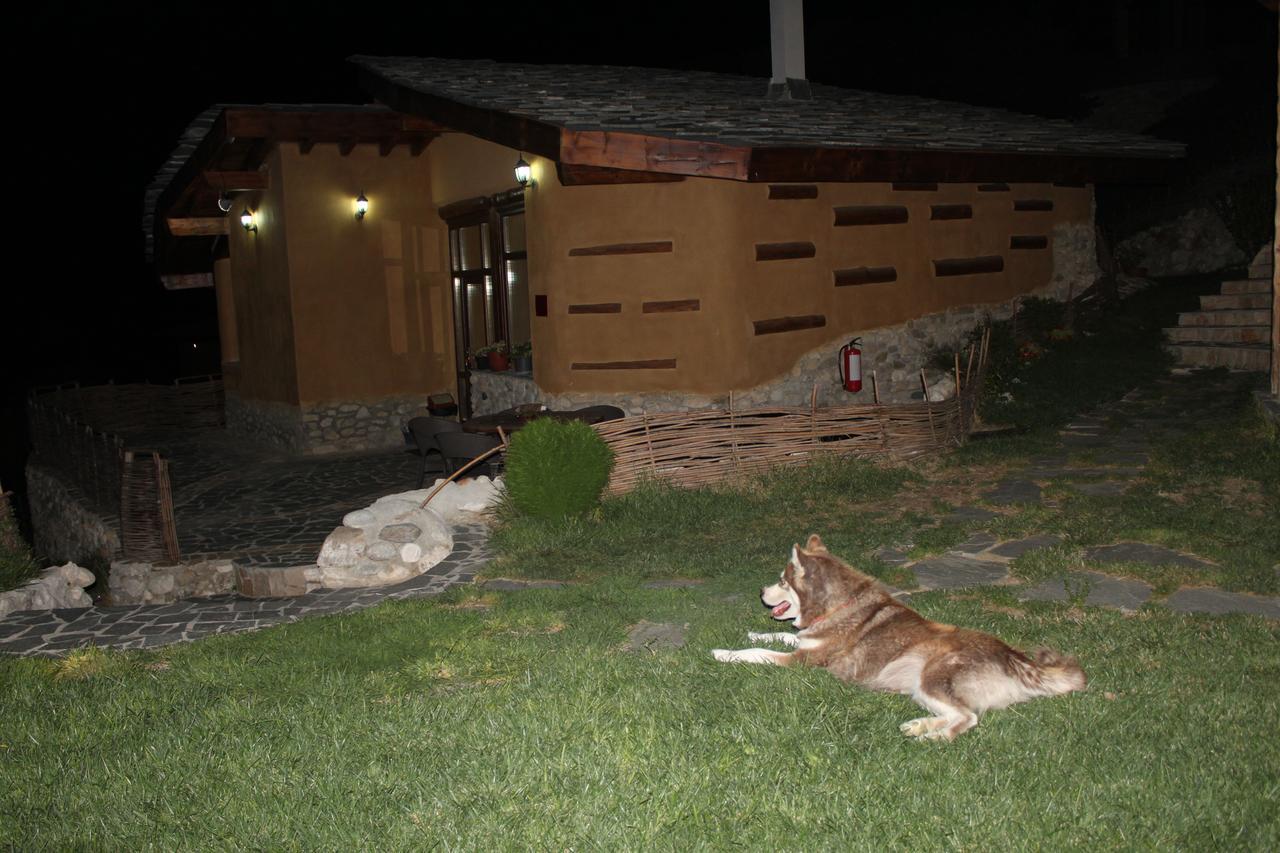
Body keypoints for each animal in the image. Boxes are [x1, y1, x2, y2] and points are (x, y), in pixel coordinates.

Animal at [716, 532, 1085, 737]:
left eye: (781, 580)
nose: (760, 591)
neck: (837, 605)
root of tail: (1015, 658)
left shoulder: (803, 661)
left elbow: (759, 654)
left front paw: (724, 653)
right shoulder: (805, 642)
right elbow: (776, 636)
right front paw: (753, 632)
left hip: (931, 678)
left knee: (967, 719)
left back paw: (933, 738)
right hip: (920, 689)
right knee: (959, 714)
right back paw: (920, 726)